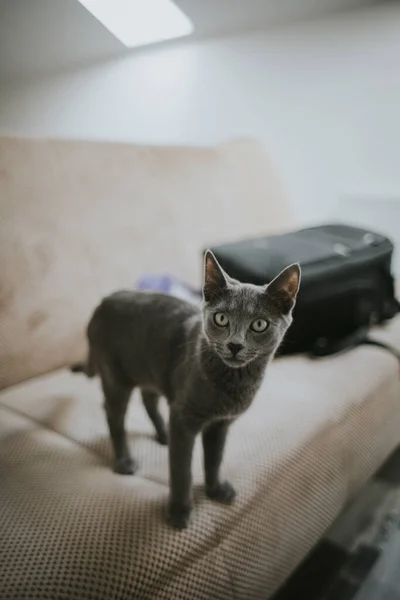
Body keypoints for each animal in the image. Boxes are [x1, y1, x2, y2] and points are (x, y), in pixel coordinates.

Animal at [72, 251, 300, 528]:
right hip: (116, 376)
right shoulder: (184, 416)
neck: (233, 382)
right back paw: (125, 461)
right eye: (221, 318)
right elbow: (181, 469)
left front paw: (215, 490)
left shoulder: (219, 424)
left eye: (259, 325)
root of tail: (103, 301)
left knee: (149, 399)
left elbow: (214, 458)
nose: (234, 345)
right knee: (114, 416)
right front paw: (180, 511)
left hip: (154, 369)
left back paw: (163, 435)